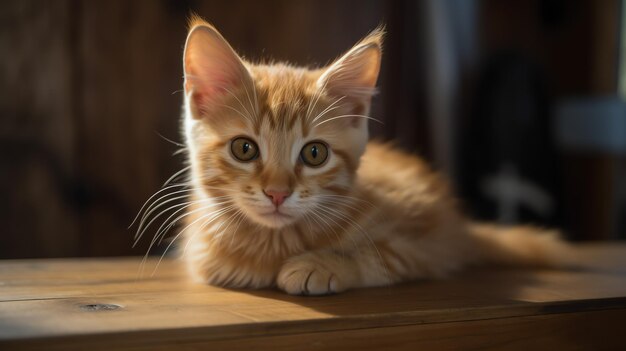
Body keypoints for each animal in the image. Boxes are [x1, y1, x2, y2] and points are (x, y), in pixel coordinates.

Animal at [176, 17, 572, 296]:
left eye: (315, 153)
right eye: (244, 149)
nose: (277, 194)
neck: (275, 241)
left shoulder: (431, 243)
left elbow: (381, 256)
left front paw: (323, 265)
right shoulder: (202, 255)